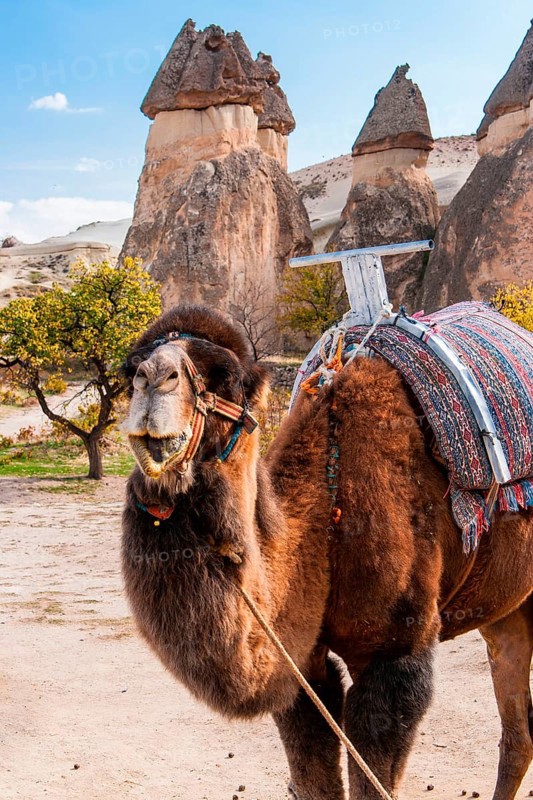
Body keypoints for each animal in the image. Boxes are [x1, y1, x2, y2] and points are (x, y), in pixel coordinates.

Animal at [121, 304, 533, 800]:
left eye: (226, 376)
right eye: (130, 369)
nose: (153, 378)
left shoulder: (393, 653)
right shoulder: (301, 663)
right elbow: (314, 775)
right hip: (503, 608)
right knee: (518, 731)